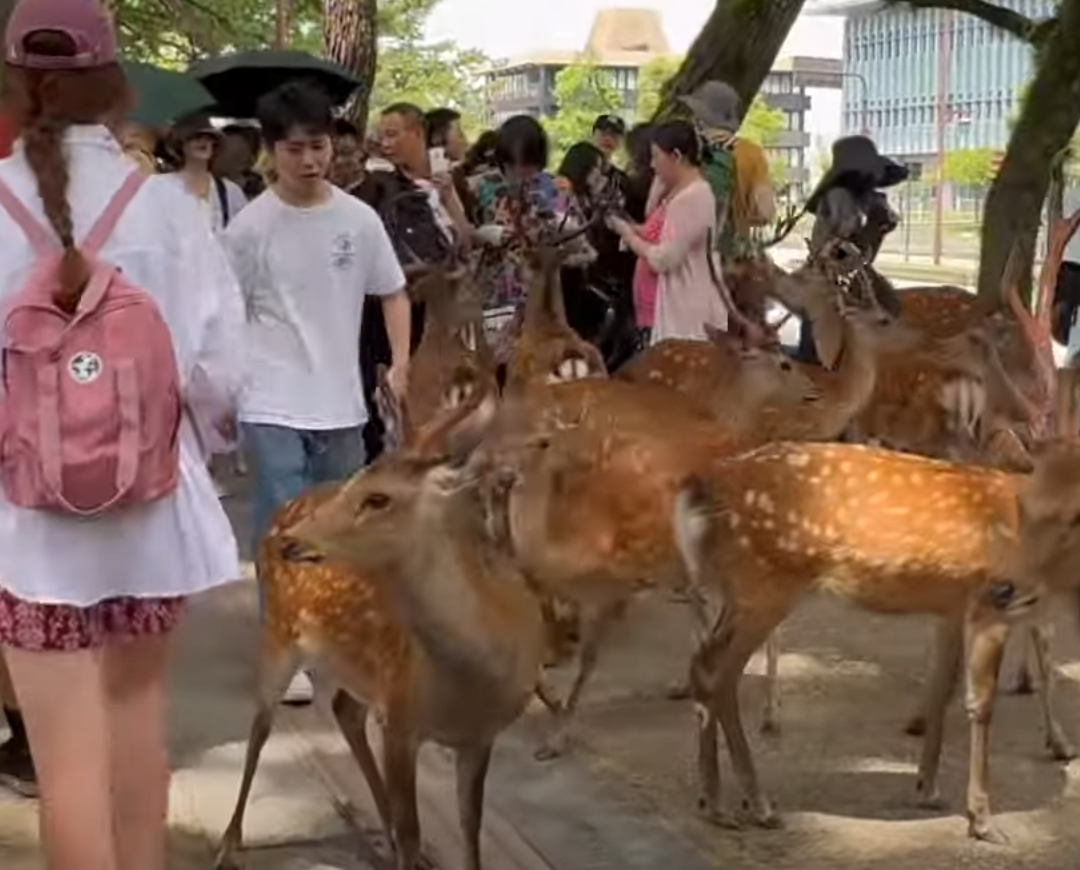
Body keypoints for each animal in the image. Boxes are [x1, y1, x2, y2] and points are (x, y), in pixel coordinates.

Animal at [212, 373, 531, 870]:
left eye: (378, 497)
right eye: (359, 481)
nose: (290, 541)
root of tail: (286, 507)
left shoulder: (479, 737)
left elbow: (470, 831)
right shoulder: (400, 719)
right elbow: (414, 828)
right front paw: (407, 848)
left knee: (345, 709)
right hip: (280, 634)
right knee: (261, 725)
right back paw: (229, 843)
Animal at [670, 369, 1080, 844]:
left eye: (1073, 514)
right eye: (1035, 509)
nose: (1007, 585)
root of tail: (703, 488)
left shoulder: (951, 606)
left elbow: (940, 689)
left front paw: (927, 788)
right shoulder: (984, 605)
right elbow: (980, 704)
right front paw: (981, 819)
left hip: (742, 589)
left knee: (704, 665)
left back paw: (713, 800)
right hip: (767, 582)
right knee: (718, 673)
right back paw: (755, 804)